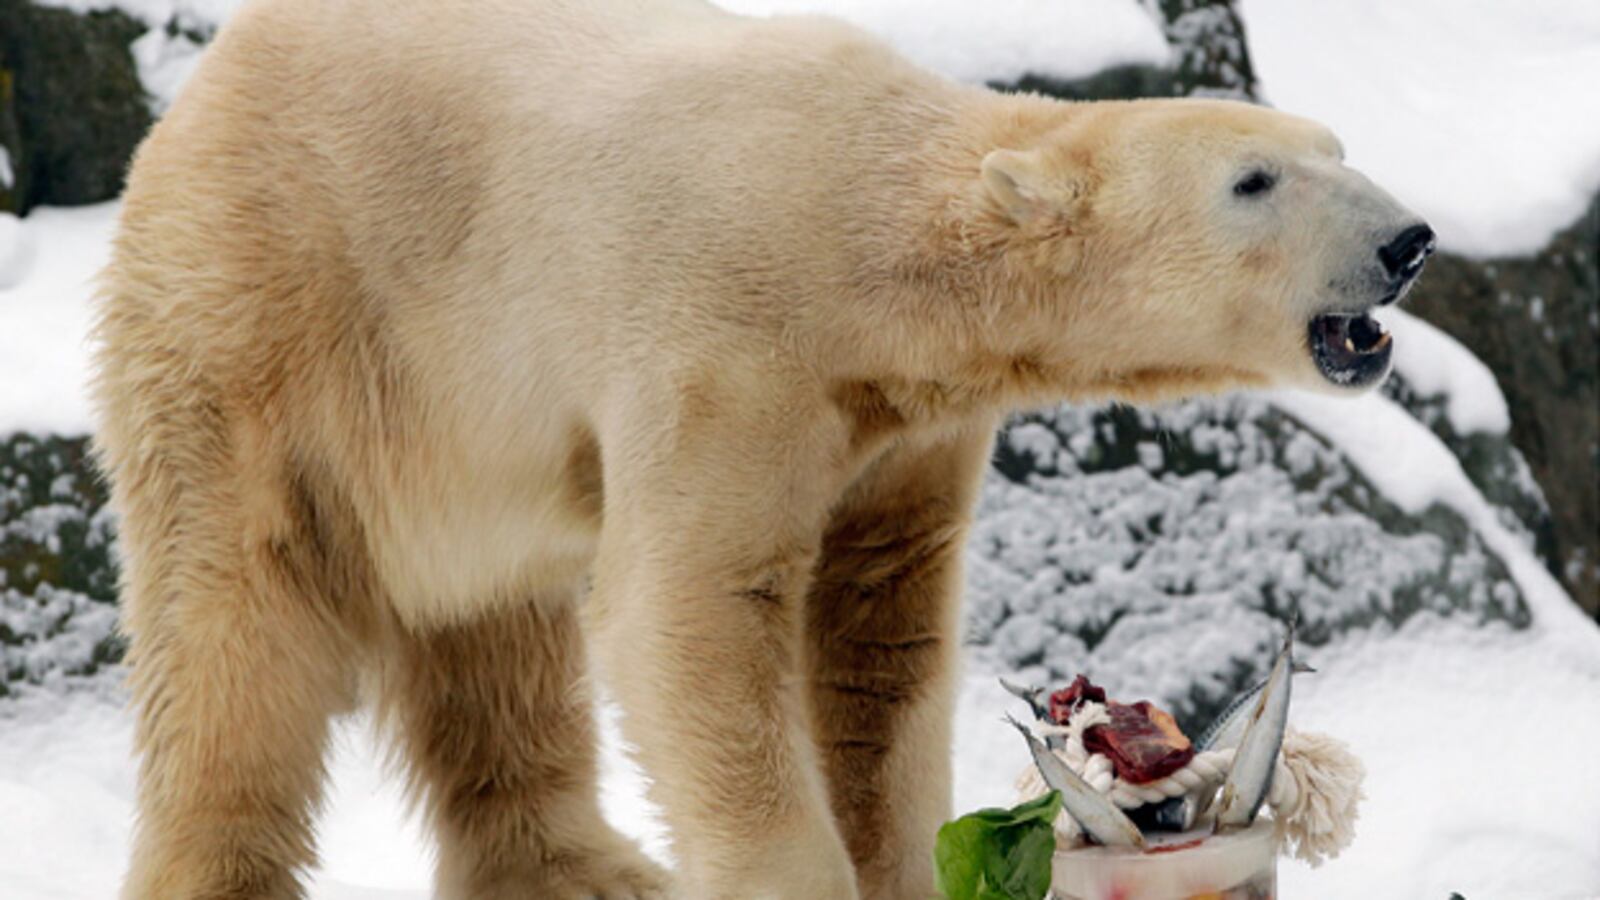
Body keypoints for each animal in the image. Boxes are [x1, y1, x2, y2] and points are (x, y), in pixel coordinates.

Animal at [90, 0, 1433, 897]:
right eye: (1254, 180)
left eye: (1336, 147)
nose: (1409, 239)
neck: (870, 229)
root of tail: (205, 85)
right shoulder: (725, 343)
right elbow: (687, 613)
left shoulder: (904, 422)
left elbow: (880, 638)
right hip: (275, 321)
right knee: (236, 632)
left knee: (495, 634)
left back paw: (586, 870)